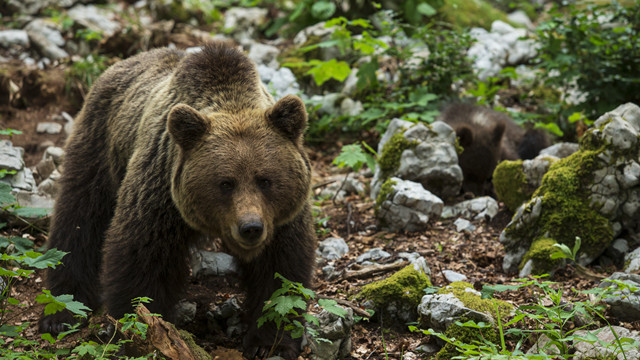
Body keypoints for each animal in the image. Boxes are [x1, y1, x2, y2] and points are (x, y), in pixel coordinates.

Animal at [39, 40, 316, 358]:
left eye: (265, 180)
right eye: (226, 183)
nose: (251, 228)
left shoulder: (282, 218)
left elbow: (281, 276)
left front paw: (269, 342)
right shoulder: (160, 191)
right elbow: (140, 258)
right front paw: (141, 334)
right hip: (101, 143)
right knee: (79, 218)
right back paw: (62, 310)